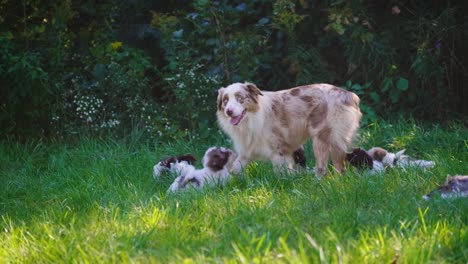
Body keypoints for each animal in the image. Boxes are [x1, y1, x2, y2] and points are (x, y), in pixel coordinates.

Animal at [217, 82, 362, 175]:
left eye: (240, 98)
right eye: (225, 100)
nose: (229, 111)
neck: (252, 119)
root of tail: (348, 94)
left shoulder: (277, 150)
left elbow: (280, 173)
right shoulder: (247, 151)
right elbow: (235, 169)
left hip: (322, 139)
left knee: (323, 168)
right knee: (340, 168)